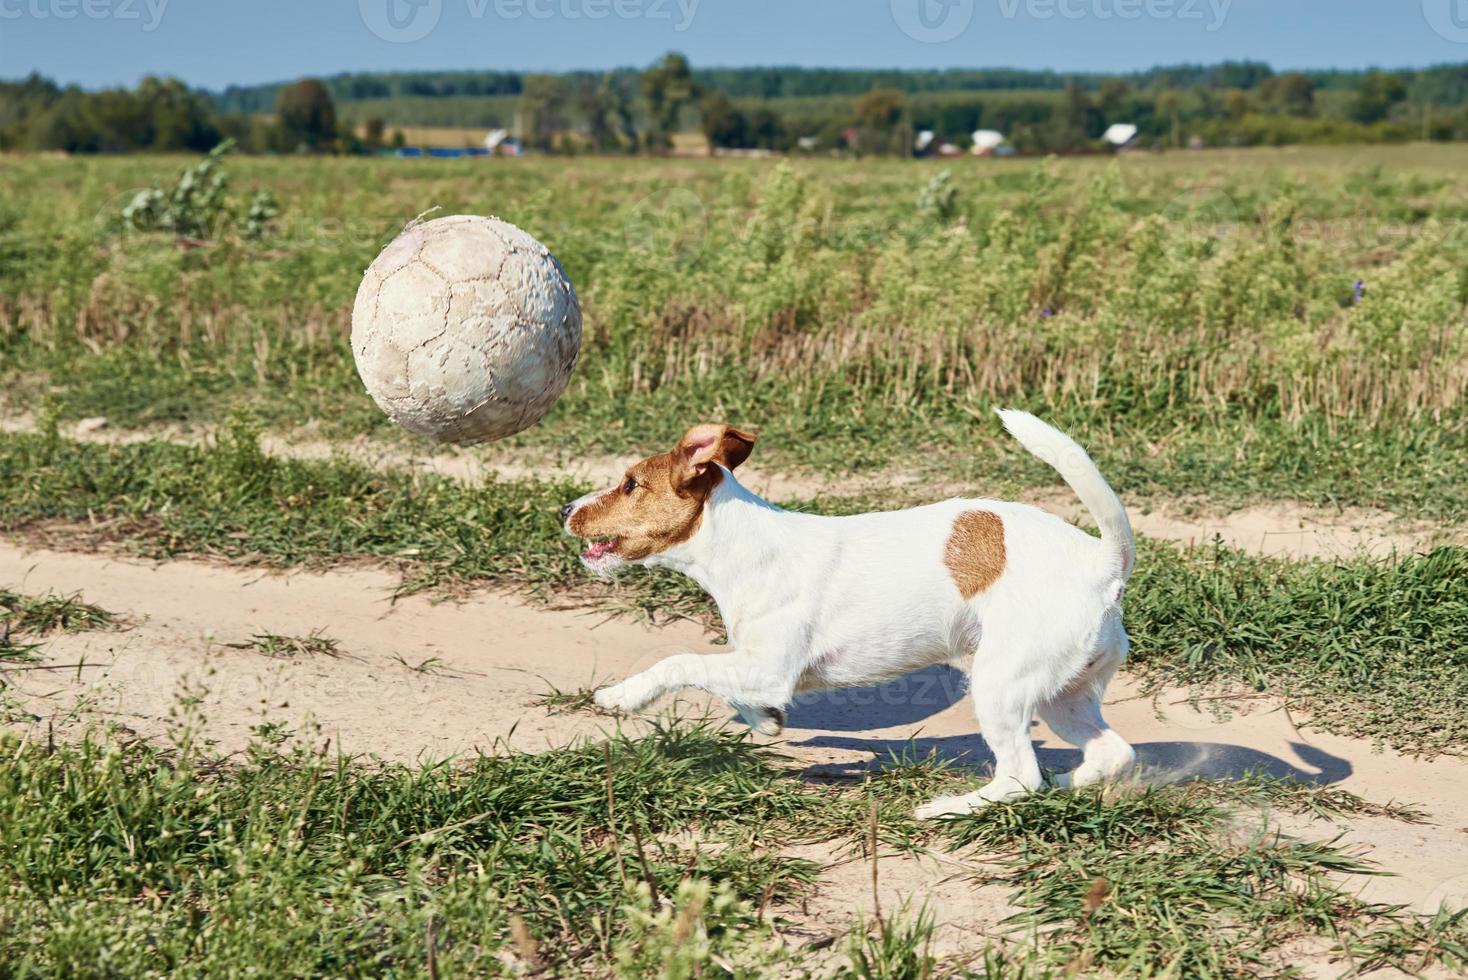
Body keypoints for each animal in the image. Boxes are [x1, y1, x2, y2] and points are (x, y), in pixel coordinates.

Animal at [557, 410, 1133, 815]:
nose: (564, 509)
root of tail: (1101, 564)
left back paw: (947, 807)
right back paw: (1067, 783)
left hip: (1000, 684)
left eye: (630, 484)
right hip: (1062, 696)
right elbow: (728, 685)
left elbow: (679, 661)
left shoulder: (766, 667)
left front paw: (622, 696)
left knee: (1019, 777)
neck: (743, 545)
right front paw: (765, 721)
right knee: (1113, 754)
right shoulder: (758, 669)